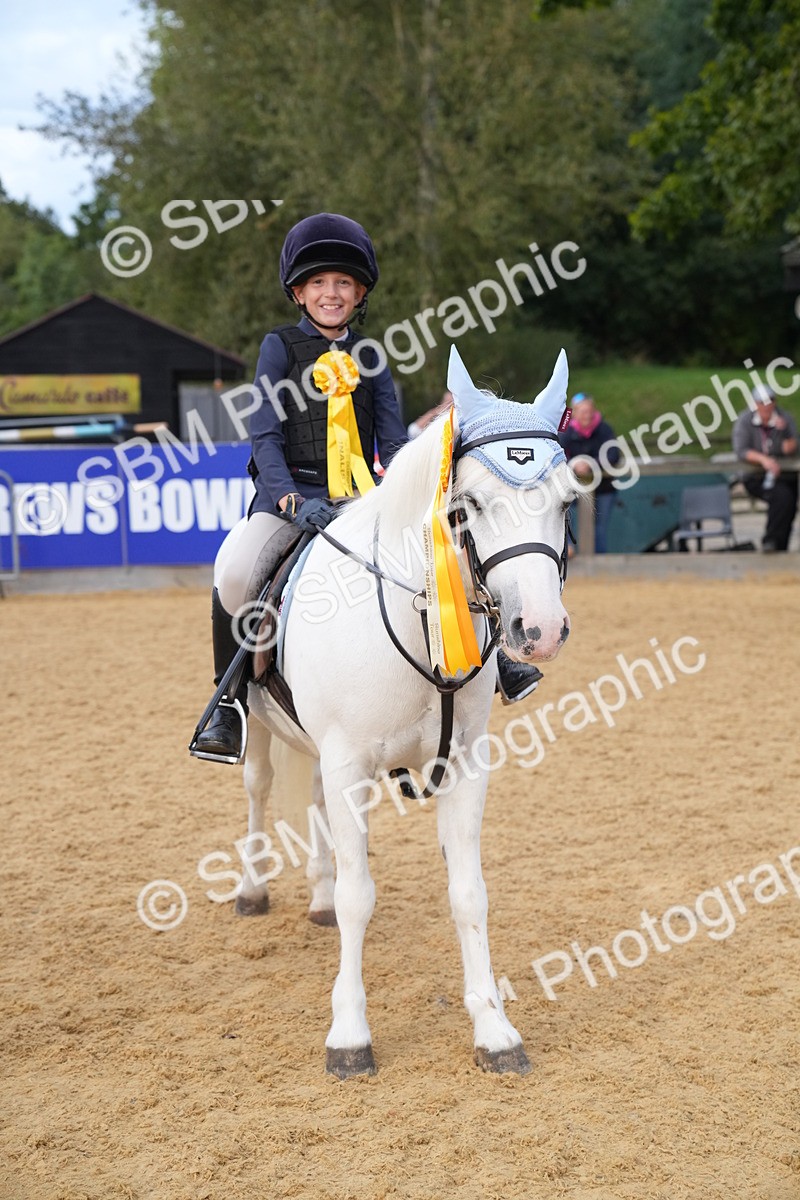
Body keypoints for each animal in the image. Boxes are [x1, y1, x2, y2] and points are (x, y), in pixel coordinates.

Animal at [215, 345, 576, 1078]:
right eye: (469, 505)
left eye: (565, 501)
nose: (541, 630)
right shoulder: (349, 761)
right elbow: (362, 897)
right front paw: (349, 1036)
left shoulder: (462, 767)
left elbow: (469, 894)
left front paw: (494, 1031)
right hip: (263, 729)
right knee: (260, 791)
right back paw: (253, 890)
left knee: (313, 807)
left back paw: (317, 897)